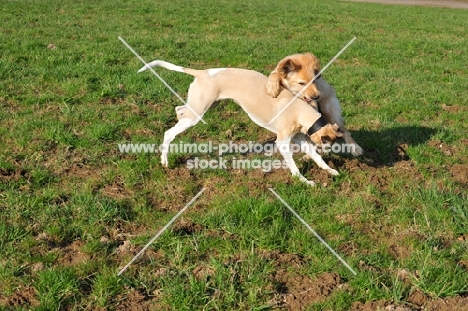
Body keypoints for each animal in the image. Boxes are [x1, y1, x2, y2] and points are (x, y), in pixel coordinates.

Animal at [137, 59, 342, 185]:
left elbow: (317, 158)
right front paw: (305, 181)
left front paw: (331, 171)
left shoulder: (299, 138)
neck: (299, 110)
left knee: (179, 110)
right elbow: (294, 166)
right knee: (169, 132)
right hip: (197, 113)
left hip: (201, 107)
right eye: (328, 144)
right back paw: (164, 161)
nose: (334, 156)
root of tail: (203, 73)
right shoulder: (283, 141)